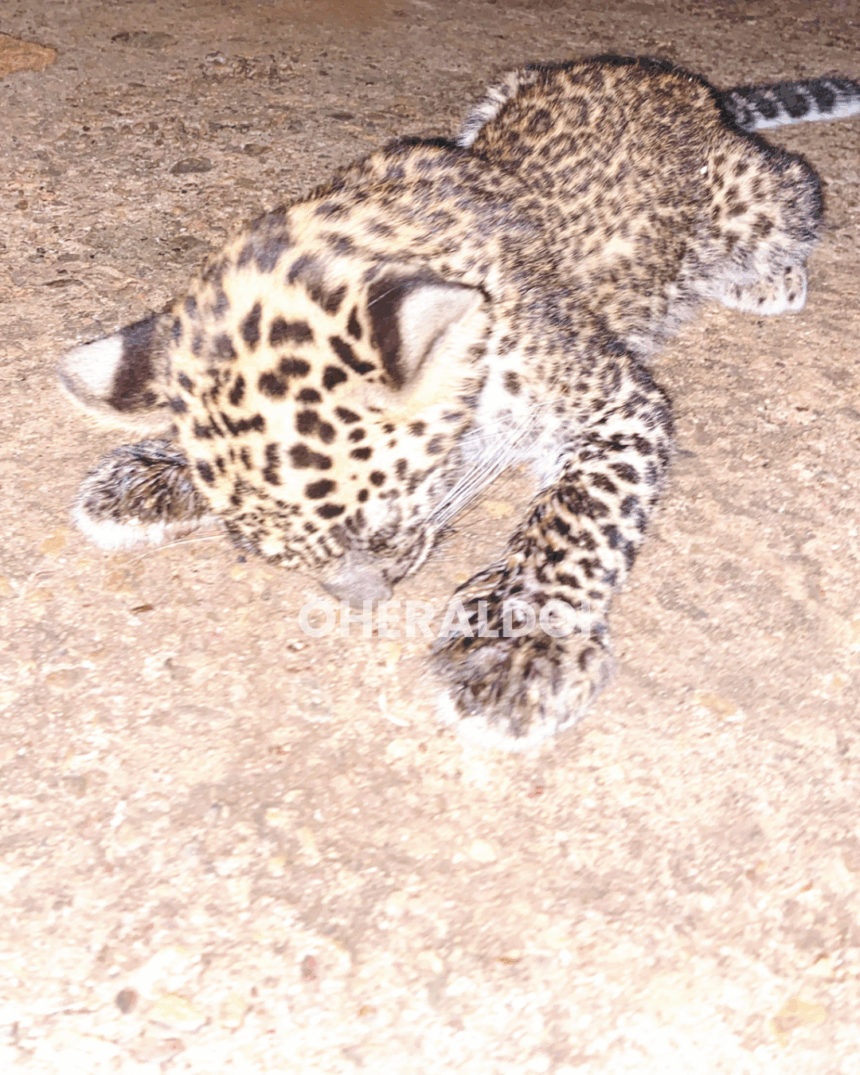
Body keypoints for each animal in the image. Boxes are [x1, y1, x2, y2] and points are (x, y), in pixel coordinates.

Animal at [58, 56, 860, 751]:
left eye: (382, 530)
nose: (363, 602)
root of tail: (680, 85)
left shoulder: (618, 402)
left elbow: (577, 517)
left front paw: (522, 644)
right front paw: (155, 473)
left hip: (755, 202)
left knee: (794, 193)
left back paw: (767, 279)